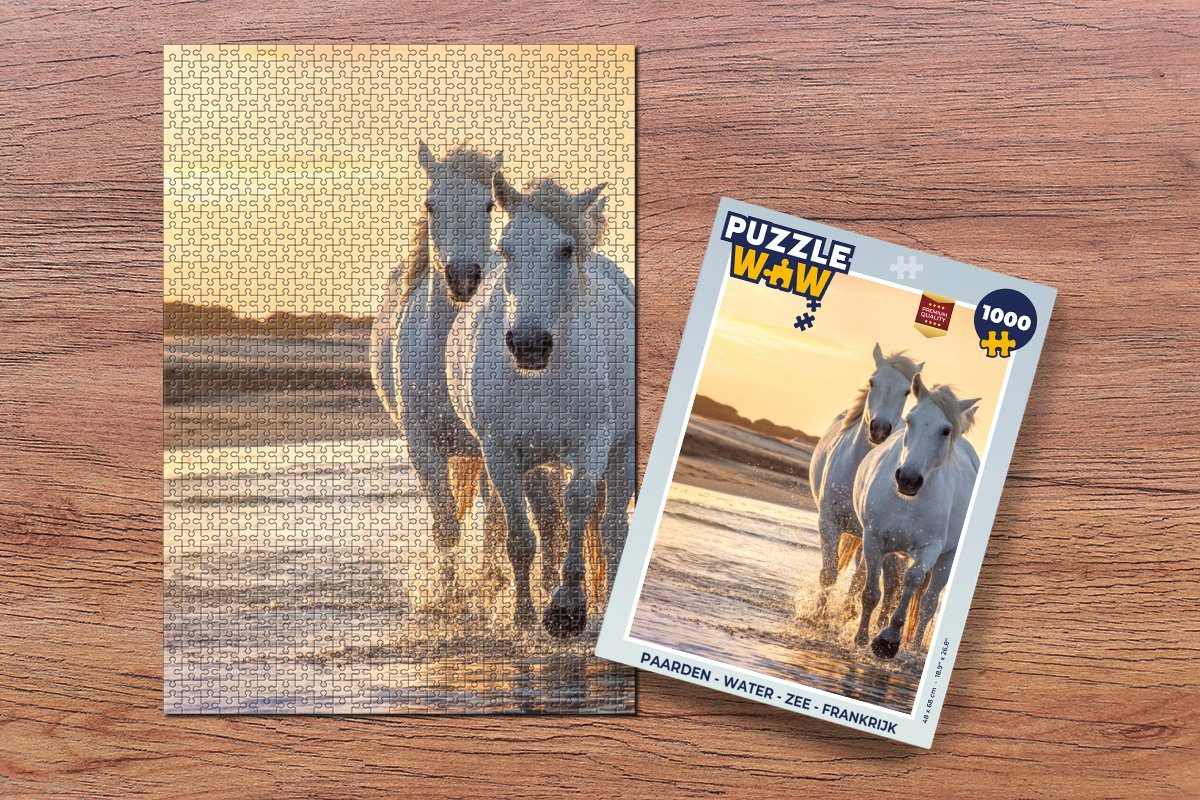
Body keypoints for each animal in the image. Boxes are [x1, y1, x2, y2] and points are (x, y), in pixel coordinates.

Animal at [369, 142, 562, 578]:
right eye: (431, 204)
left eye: (487, 205)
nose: (463, 278)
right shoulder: (423, 448)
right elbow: (446, 527)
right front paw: (448, 589)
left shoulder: (497, 449)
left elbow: (496, 523)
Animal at [446, 172, 635, 637]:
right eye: (505, 249)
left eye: (565, 249)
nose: (529, 344)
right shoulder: (501, 453)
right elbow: (520, 537)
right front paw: (524, 615)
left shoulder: (592, 445)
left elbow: (578, 505)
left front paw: (567, 608)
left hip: (621, 451)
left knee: (611, 529)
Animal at [808, 345, 922, 611]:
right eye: (872, 382)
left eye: (906, 392)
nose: (880, 429)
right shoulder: (828, 522)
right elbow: (828, 574)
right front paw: (817, 614)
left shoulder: (874, 537)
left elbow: (859, 582)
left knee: (890, 587)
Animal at [852, 374, 980, 659]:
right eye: (910, 420)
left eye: (945, 430)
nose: (908, 479)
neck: (906, 502)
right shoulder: (873, 539)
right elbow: (871, 592)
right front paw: (862, 638)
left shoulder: (930, 548)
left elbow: (911, 582)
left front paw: (888, 640)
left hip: (946, 558)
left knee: (928, 603)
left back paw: (913, 649)